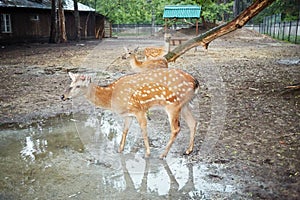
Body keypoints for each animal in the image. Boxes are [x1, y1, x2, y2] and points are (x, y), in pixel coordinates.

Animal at [61, 68, 199, 159]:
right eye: (70, 83)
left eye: (78, 86)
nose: (62, 96)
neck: (112, 97)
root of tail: (195, 82)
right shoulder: (129, 114)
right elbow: (125, 130)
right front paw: (119, 150)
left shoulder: (139, 109)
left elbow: (143, 130)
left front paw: (147, 153)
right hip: (184, 105)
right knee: (193, 122)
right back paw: (188, 150)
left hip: (173, 105)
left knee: (176, 128)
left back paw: (163, 154)